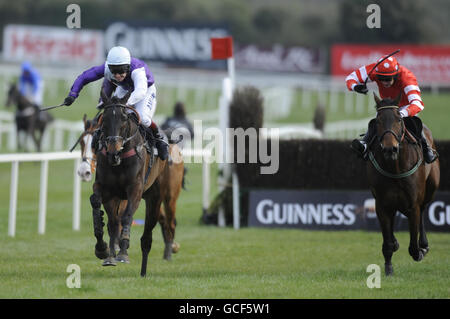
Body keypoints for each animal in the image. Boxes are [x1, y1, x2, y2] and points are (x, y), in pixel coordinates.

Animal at [78, 114, 185, 262]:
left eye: (94, 144)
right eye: (82, 143)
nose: (84, 172)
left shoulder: (127, 194)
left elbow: (120, 217)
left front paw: (118, 247)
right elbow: (112, 219)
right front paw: (109, 247)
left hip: (170, 195)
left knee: (170, 221)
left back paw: (170, 250)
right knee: (161, 218)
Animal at [366, 94, 440, 276]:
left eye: (399, 119)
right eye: (378, 120)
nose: (390, 148)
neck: (394, 167)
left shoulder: (413, 204)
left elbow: (413, 246)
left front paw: (420, 250)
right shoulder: (382, 204)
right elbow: (387, 242)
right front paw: (388, 268)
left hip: (431, 188)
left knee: (423, 210)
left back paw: (424, 245)